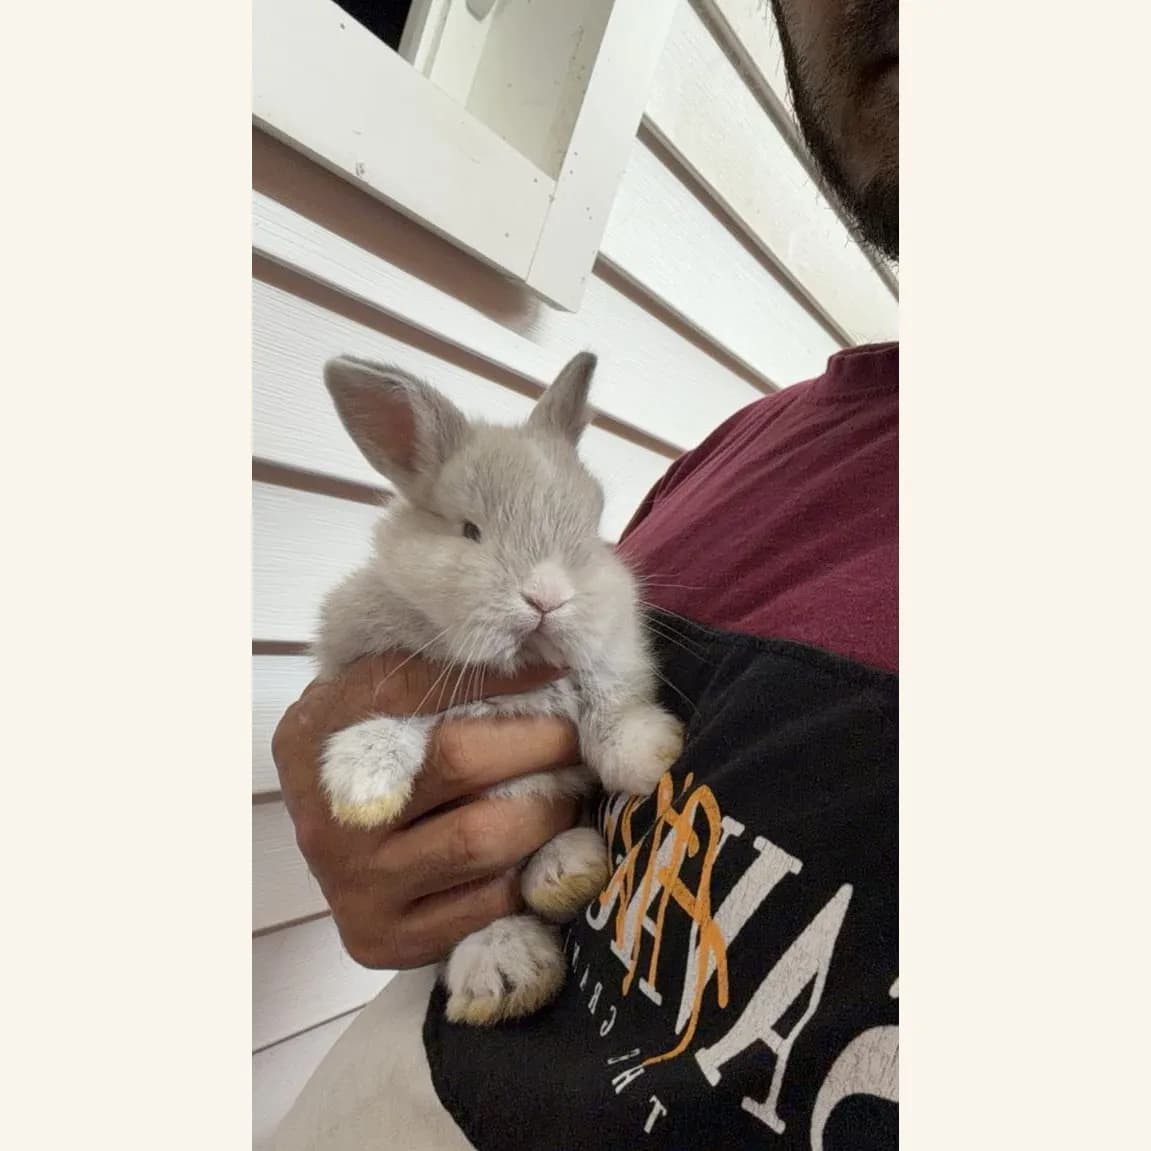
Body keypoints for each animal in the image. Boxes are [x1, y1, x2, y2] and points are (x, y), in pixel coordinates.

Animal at [312, 350, 685, 1026]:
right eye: (470, 531)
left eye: (586, 530)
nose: (546, 598)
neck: (517, 667)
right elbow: (393, 724)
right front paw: (363, 791)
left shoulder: (613, 651)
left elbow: (609, 703)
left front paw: (648, 755)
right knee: (481, 918)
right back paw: (505, 975)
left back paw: (566, 869)